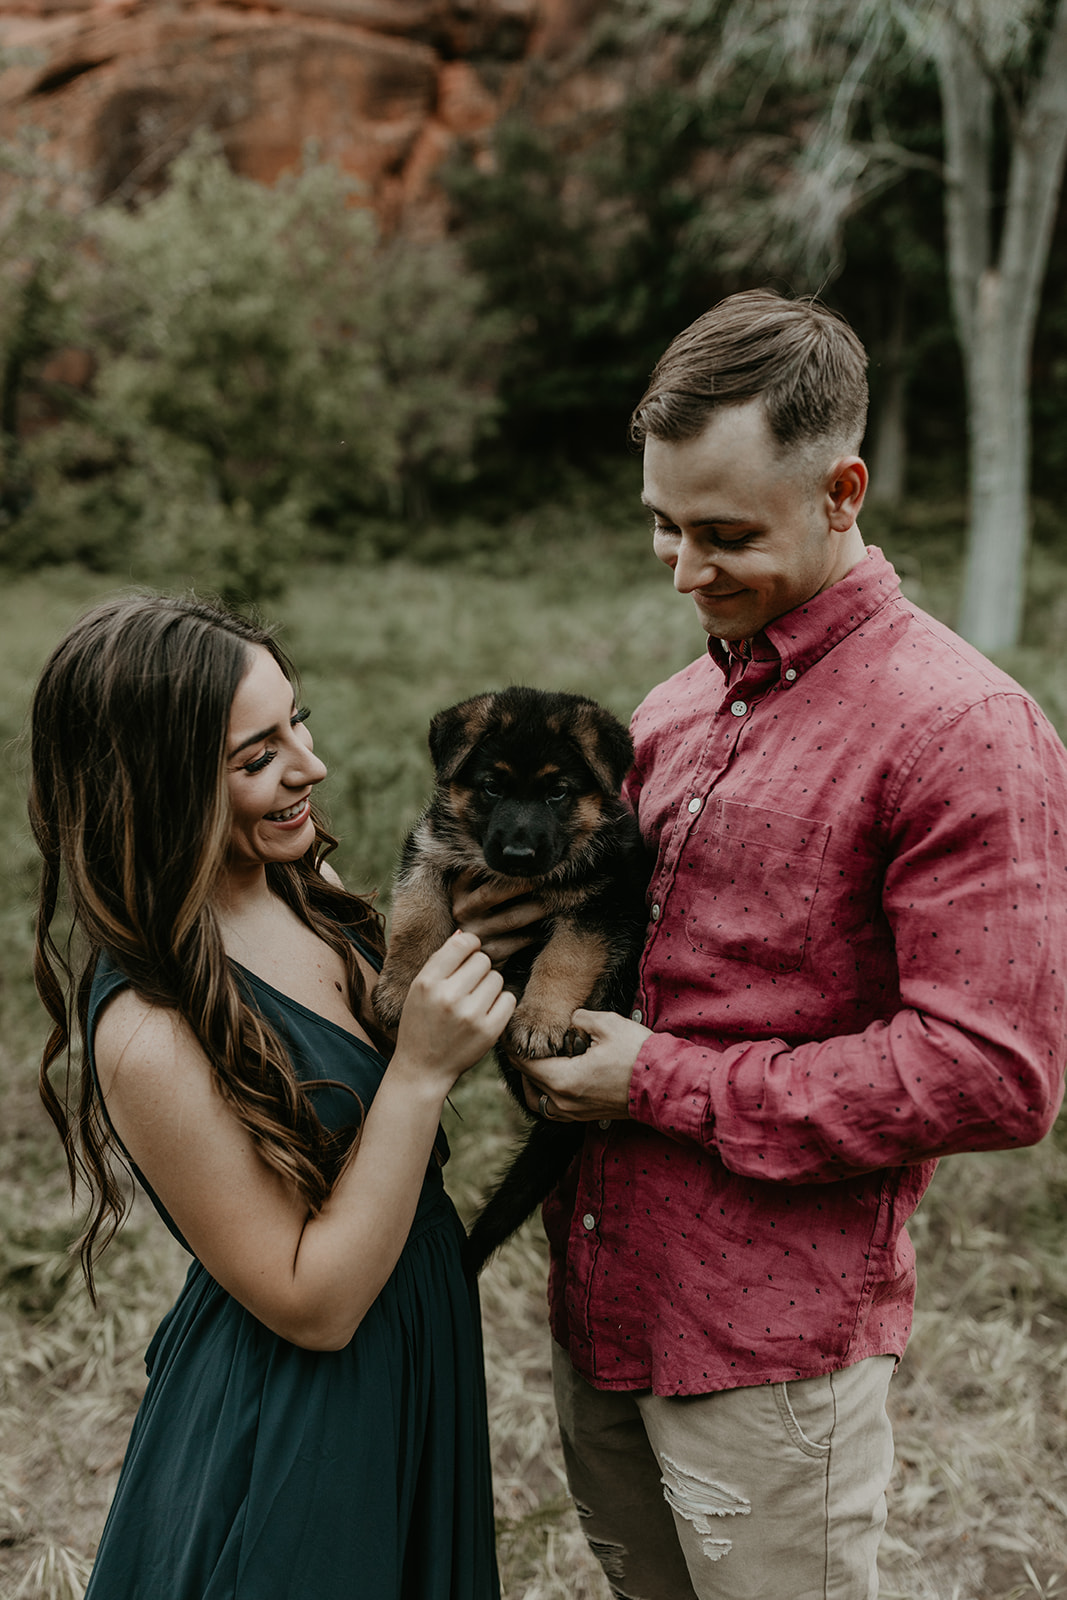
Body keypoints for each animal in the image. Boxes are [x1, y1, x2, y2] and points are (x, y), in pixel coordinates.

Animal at [371, 688, 646, 1273]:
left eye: (558, 792)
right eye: (492, 786)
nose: (518, 855)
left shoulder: (602, 899)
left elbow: (564, 958)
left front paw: (541, 1021)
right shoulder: (427, 851)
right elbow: (418, 916)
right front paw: (402, 986)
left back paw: (574, 1032)